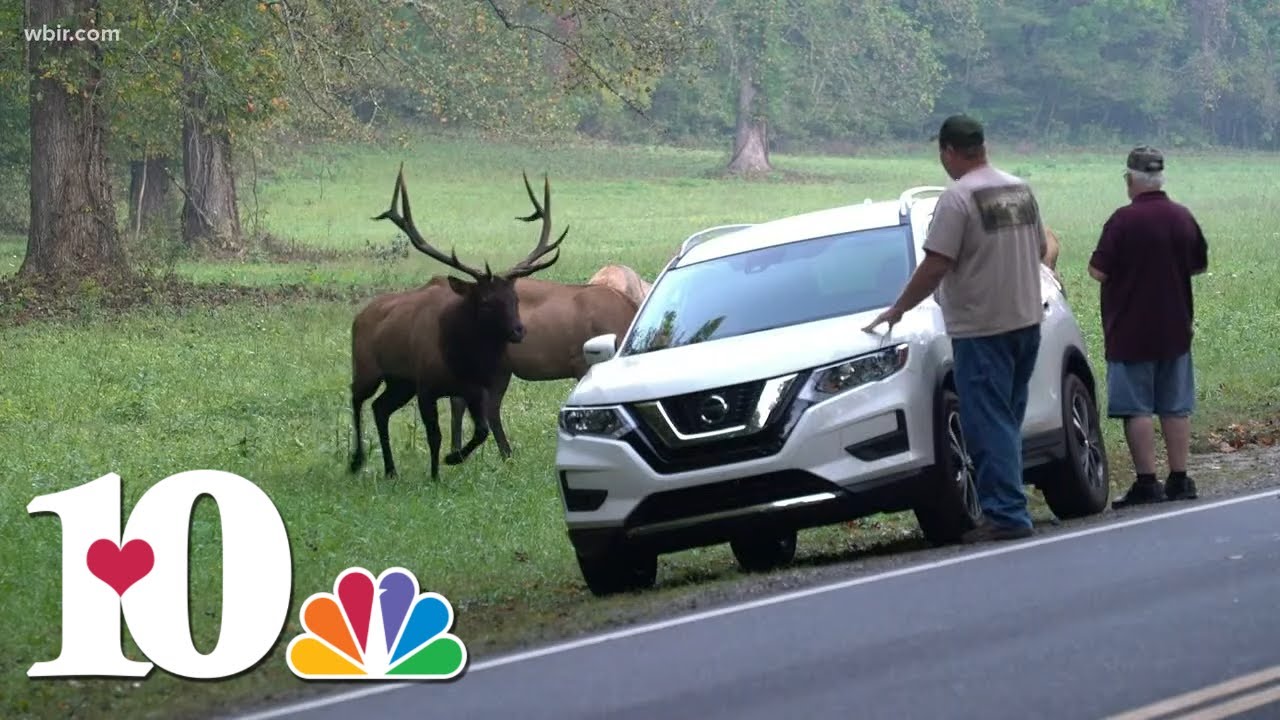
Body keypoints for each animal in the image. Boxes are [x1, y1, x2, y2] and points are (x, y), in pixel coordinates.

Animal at [348, 165, 566, 480]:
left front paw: (453, 458)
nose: (518, 330)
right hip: (368, 366)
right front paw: (435, 475)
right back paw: (356, 460)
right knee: (357, 398)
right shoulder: (426, 385)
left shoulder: (473, 388)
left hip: (401, 381)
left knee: (380, 408)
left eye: (515, 297)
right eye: (486, 300)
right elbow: (434, 435)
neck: (461, 360)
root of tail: (361, 315)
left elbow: (481, 431)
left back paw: (390, 470)